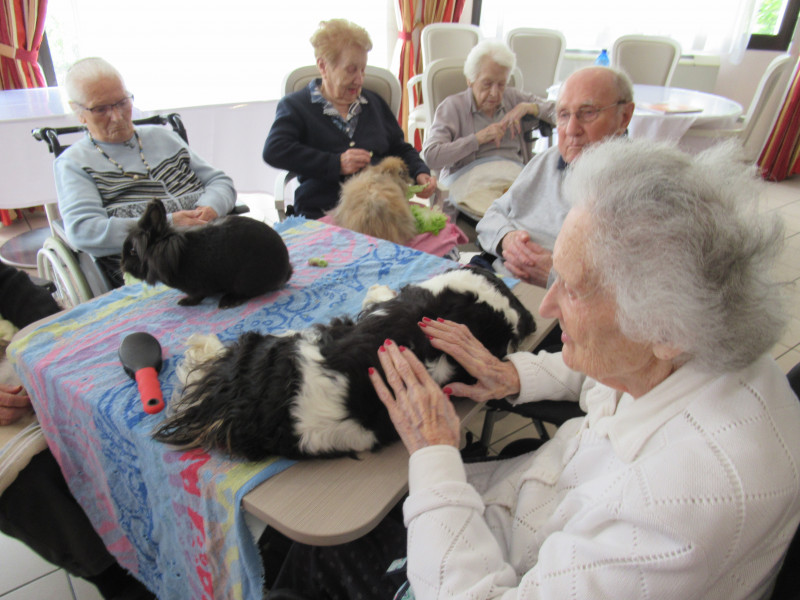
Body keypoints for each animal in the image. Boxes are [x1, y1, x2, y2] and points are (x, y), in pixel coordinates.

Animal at [120, 199, 292, 308]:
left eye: (133, 251)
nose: (122, 266)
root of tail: (285, 270)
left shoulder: (197, 287)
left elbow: (197, 296)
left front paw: (185, 302)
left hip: (246, 279)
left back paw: (228, 302)